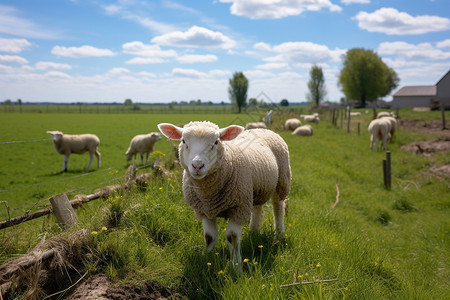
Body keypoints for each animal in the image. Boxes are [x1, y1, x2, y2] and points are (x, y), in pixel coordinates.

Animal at [158, 120, 292, 272]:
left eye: (216, 142)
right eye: (183, 141)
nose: (197, 166)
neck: (208, 195)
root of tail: (261, 129)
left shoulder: (239, 207)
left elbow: (232, 236)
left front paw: (237, 268)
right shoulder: (204, 210)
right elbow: (209, 237)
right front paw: (209, 260)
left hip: (282, 180)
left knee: (278, 207)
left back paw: (279, 235)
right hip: (256, 188)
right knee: (258, 207)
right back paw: (254, 232)